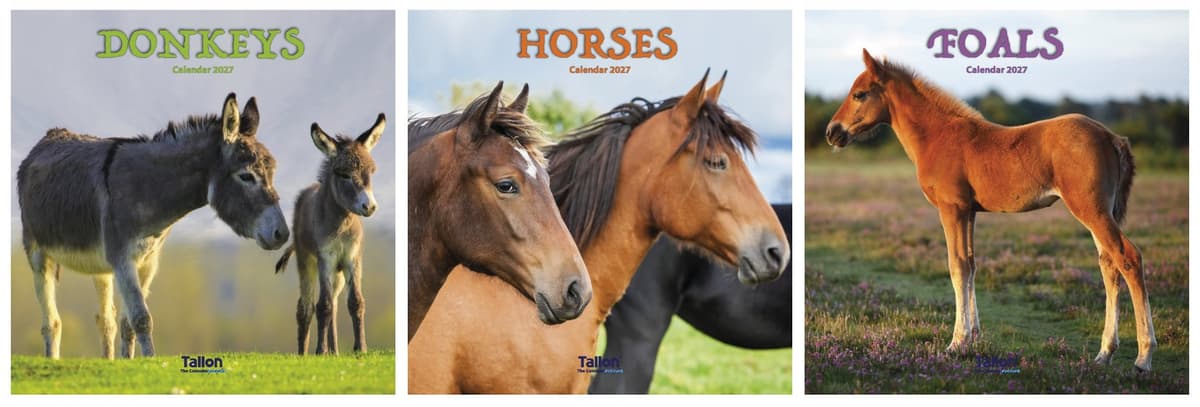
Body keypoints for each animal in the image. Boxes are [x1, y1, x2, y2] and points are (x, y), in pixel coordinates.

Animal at [17, 93, 289, 359]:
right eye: (246, 176)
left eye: (272, 173)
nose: (282, 234)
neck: (148, 189)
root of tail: (49, 137)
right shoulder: (123, 259)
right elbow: (141, 318)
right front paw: (150, 359)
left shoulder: (148, 262)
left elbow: (128, 323)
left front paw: (129, 364)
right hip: (38, 254)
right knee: (52, 323)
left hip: (100, 267)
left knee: (105, 321)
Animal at [273, 113, 386, 355]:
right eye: (343, 174)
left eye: (371, 172)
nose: (369, 207)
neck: (342, 224)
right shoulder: (326, 258)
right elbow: (321, 306)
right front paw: (320, 350)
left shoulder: (352, 259)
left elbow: (355, 302)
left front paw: (360, 348)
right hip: (307, 261)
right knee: (306, 306)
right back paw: (305, 352)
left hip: (338, 273)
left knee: (334, 303)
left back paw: (334, 351)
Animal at [824, 49, 1156, 371]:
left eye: (859, 94)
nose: (832, 132)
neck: (937, 136)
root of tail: (1111, 137)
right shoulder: (969, 211)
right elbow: (971, 265)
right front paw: (974, 337)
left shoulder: (952, 209)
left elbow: (957, 266)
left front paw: (956, 343)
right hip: (1100, 211)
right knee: (1109, 265)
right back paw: (1104, 353)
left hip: (1090, 209)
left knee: (1128, 258)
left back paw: (1143, 356)